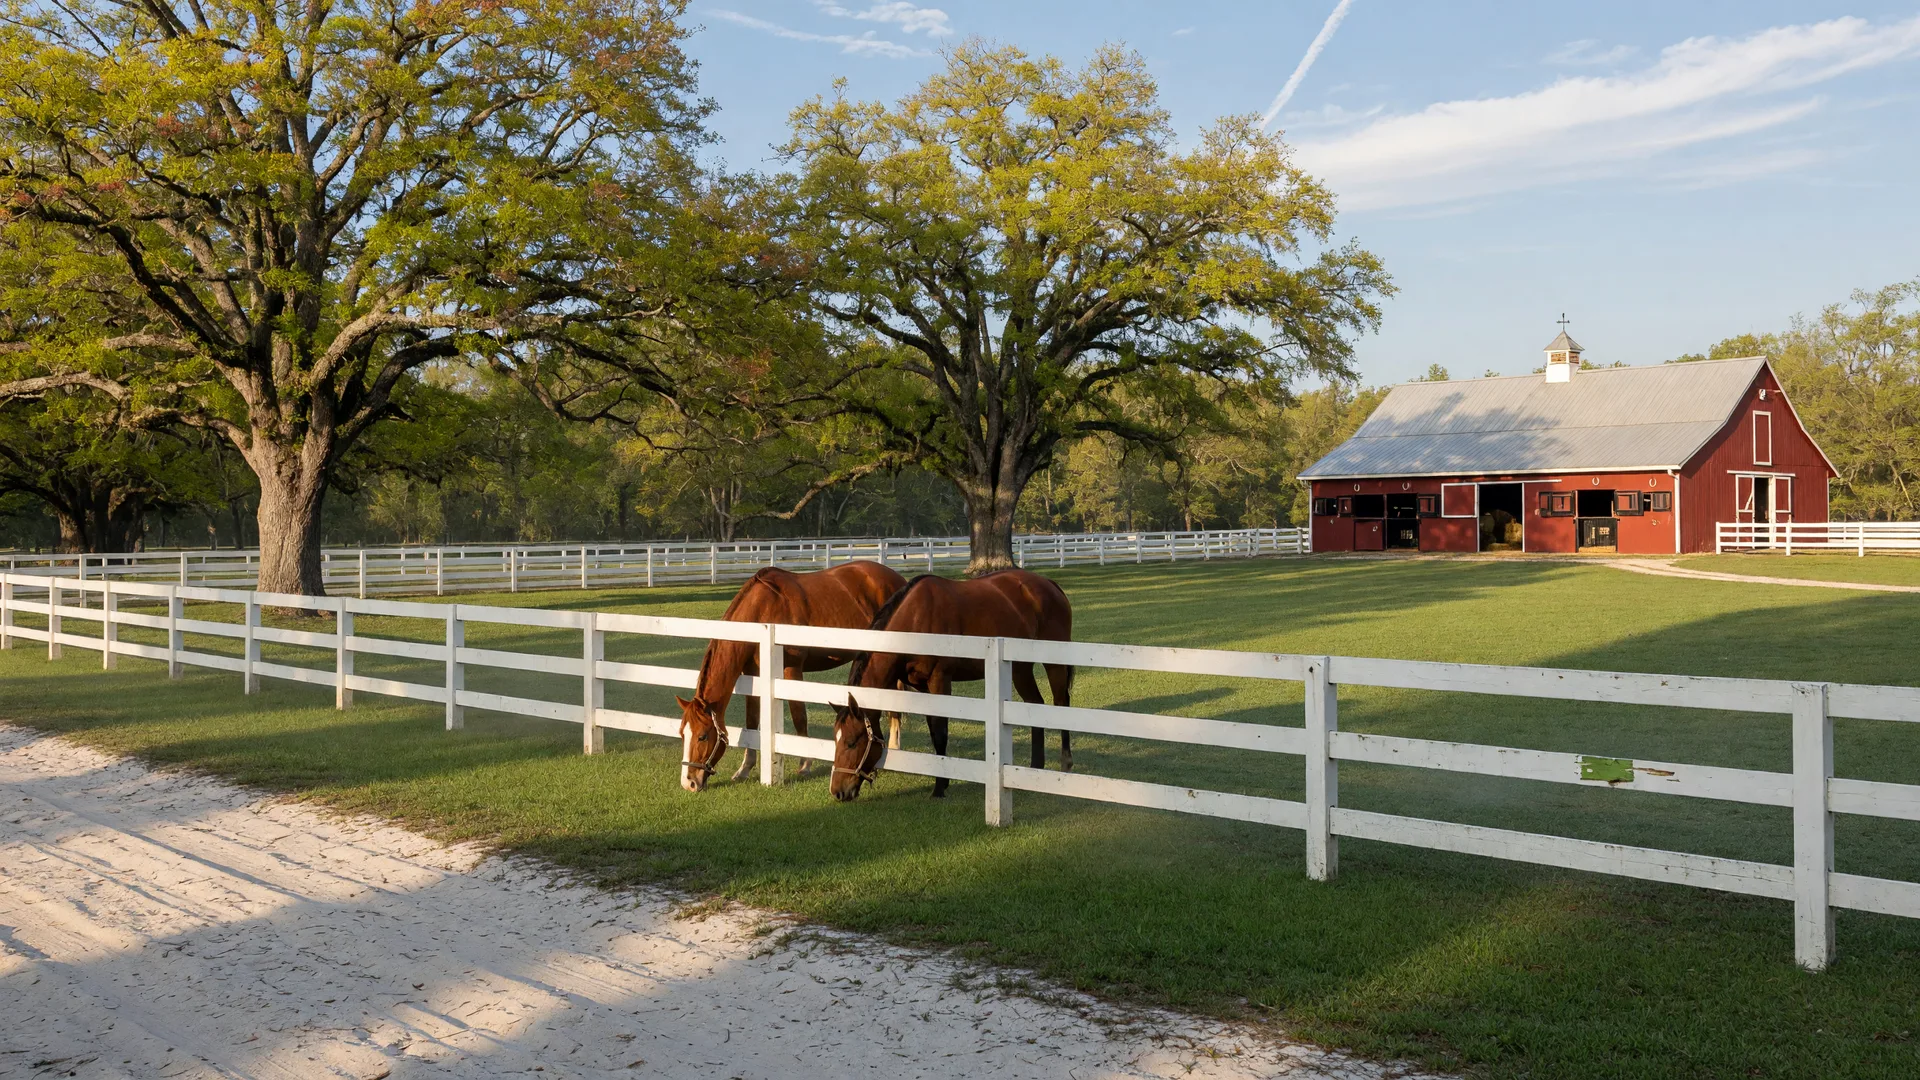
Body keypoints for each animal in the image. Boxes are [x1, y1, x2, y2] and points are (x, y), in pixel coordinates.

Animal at [676, 561, 906, 792]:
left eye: (702, 736)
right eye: (682, 733)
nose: (689, 782)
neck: (762, 610)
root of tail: (897, 578)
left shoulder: (791, 669)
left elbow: (799, 715)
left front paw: (805, 765)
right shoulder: (753, 673)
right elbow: (752, 720)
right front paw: (745, 768)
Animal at [828, 569, 1074, 802]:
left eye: (851, 742)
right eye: (835, 739)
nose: (838, 791)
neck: (913, 622)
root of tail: (1049, 584)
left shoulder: (940, 680)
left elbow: (940, 732)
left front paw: (939, 788)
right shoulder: (922, 687)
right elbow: (932, 730)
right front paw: (942, 782)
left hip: (1054, 662)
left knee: (1061, 704)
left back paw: (1065, 763)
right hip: (1020, 669)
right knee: (1034, 705)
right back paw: (1035, 767)